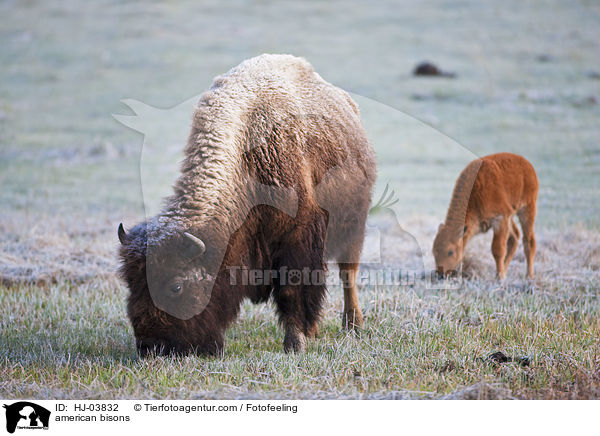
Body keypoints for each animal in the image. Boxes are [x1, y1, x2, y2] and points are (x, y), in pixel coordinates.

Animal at [117, 54, 376, 356]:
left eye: (176, 287)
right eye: (130, 283)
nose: (151, 346)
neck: (248, 161)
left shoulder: (296, 241)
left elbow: (291, 290)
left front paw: (294, 344)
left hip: (354, 228)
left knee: (348, 274)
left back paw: (353, 324)